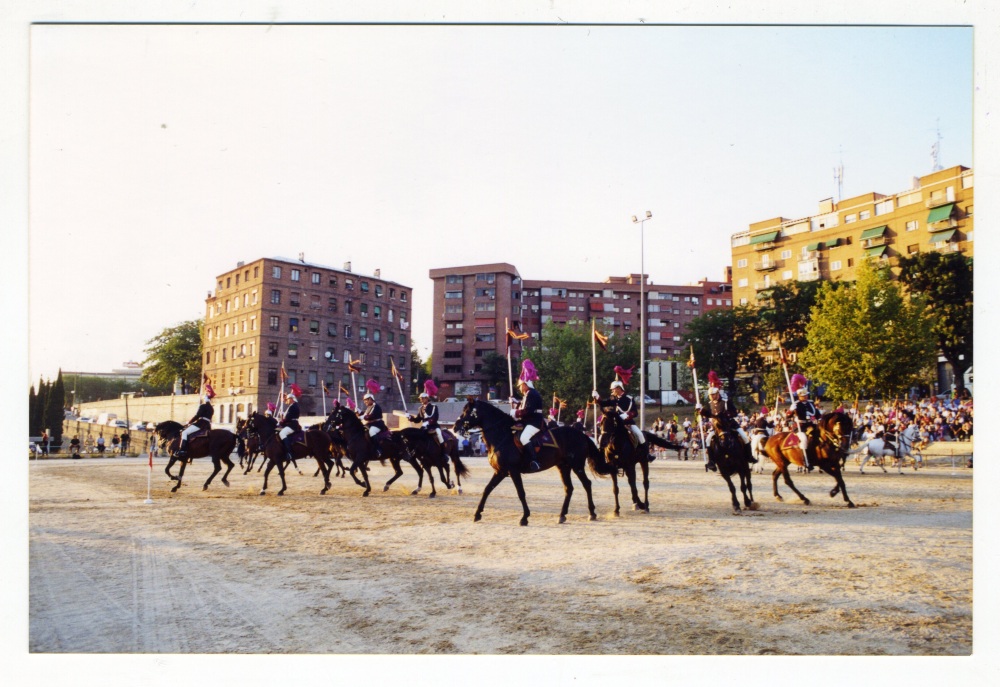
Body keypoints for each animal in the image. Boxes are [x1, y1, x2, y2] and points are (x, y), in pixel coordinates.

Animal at [456, 398, 616, 528]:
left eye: (467, 411)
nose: (456, 426)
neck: (501, 436)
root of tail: (581, 435)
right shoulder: (500, 471)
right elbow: (487, 489)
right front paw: (477, 514)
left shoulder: (513, 471)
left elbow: (521, 493)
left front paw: (524, 517)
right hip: (563, 467)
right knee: (569, 488)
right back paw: (562, 515)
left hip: (577, 466)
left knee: (586, 484)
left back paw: (592, 513)